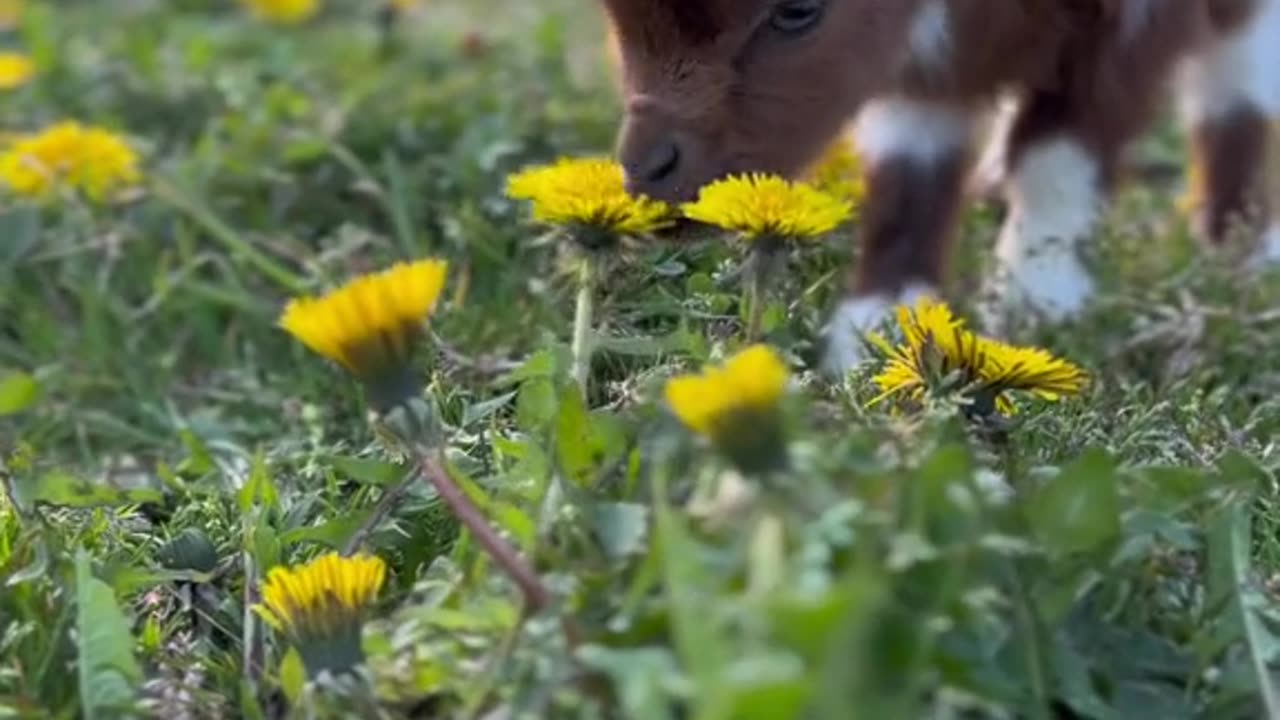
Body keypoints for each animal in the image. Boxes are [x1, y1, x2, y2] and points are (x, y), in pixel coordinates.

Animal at [599, 0, 1280, 368]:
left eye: (797, 10)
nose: (646, 174)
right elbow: (912, 158)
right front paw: (883, 328)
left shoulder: (1133, 23)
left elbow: (1061, 152)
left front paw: (1035, 308)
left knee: (1238, 80)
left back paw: (1239, 244)